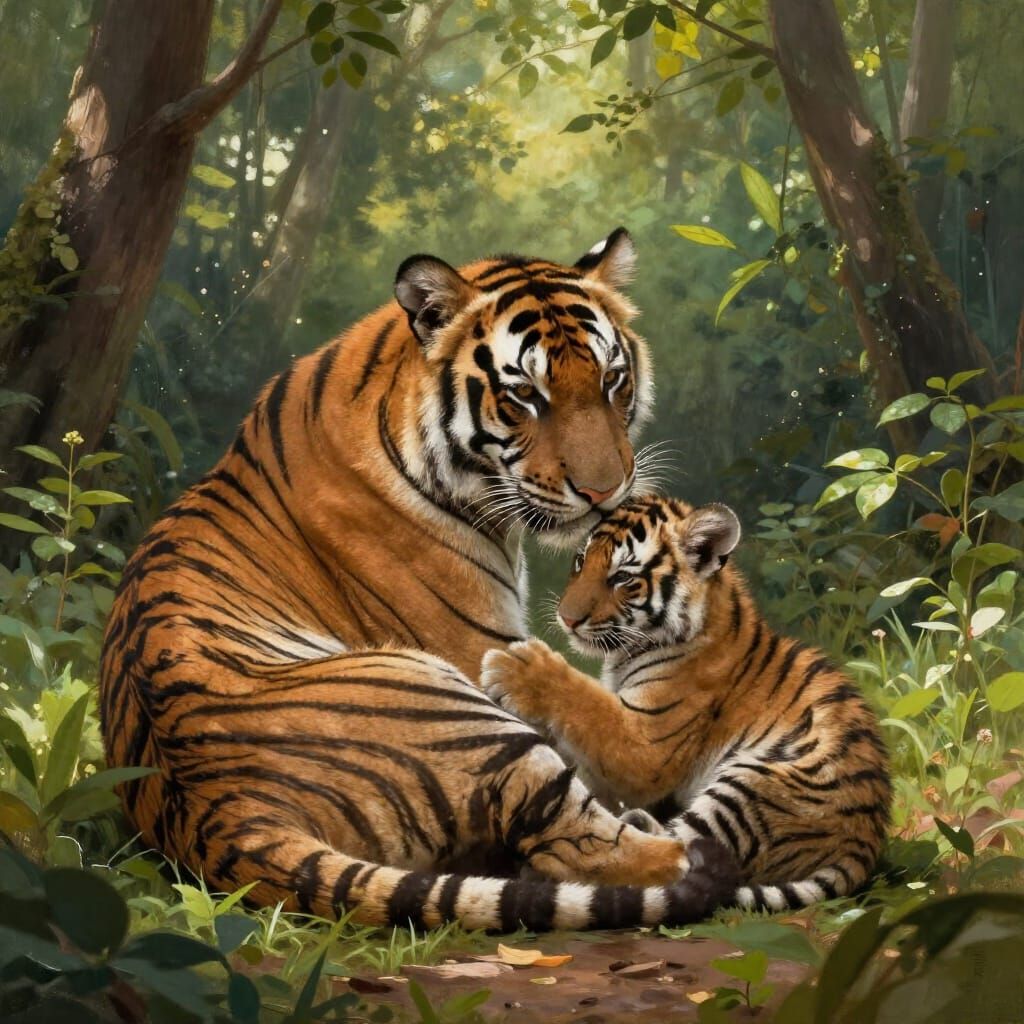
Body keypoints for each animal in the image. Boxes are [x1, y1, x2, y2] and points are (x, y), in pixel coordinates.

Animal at [99, 230, 739, 934]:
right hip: (450, 701)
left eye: (612, 380)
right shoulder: (479, 646)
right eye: (526, 396)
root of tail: (221, 815)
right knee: (585, 847)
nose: (604, 492)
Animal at [481, 496, 891, 912]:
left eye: (623, 578)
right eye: (580, 561)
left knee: (678, 853)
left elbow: (588, 703)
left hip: (755, 785)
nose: (567, 619)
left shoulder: (646, 745)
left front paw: (516, 666)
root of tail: (864, 842)